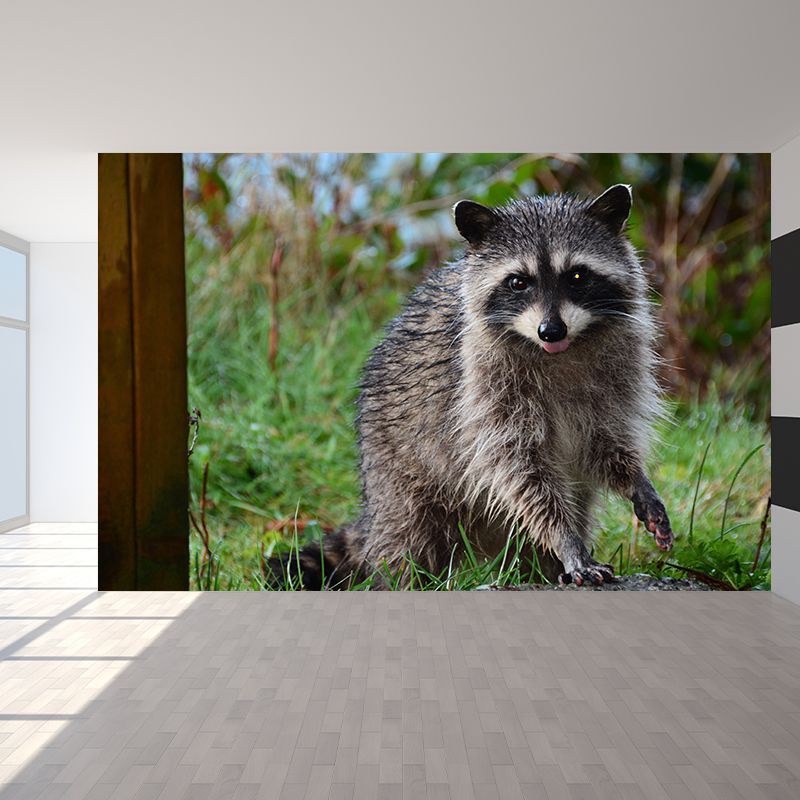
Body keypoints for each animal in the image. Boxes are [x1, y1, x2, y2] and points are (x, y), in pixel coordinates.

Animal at [269, 184, 673, 589]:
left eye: (577, 276)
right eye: (518, 281)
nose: (551, 330)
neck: (560, 351)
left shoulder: (617, 373)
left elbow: (606, 441)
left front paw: (635, 480)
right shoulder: (482, 388)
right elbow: (520, 470)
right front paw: (565, 539)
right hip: (398, 472)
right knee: (406, 540)